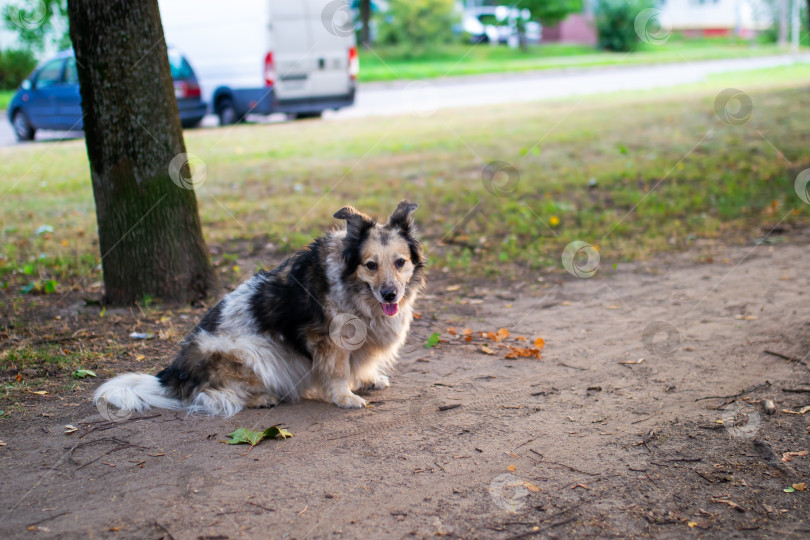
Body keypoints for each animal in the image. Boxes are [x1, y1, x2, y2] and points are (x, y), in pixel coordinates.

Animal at [93, 200, 422, 416]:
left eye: (400, 262)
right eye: (370, 265)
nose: (390, 295)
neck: (353, 285)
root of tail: (171, 375)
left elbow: (358, 364)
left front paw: (368, 380)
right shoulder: (329, 341)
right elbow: (339, 371)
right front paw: (344, 397)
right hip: (253, 351)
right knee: (208, 396)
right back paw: (260, 398)